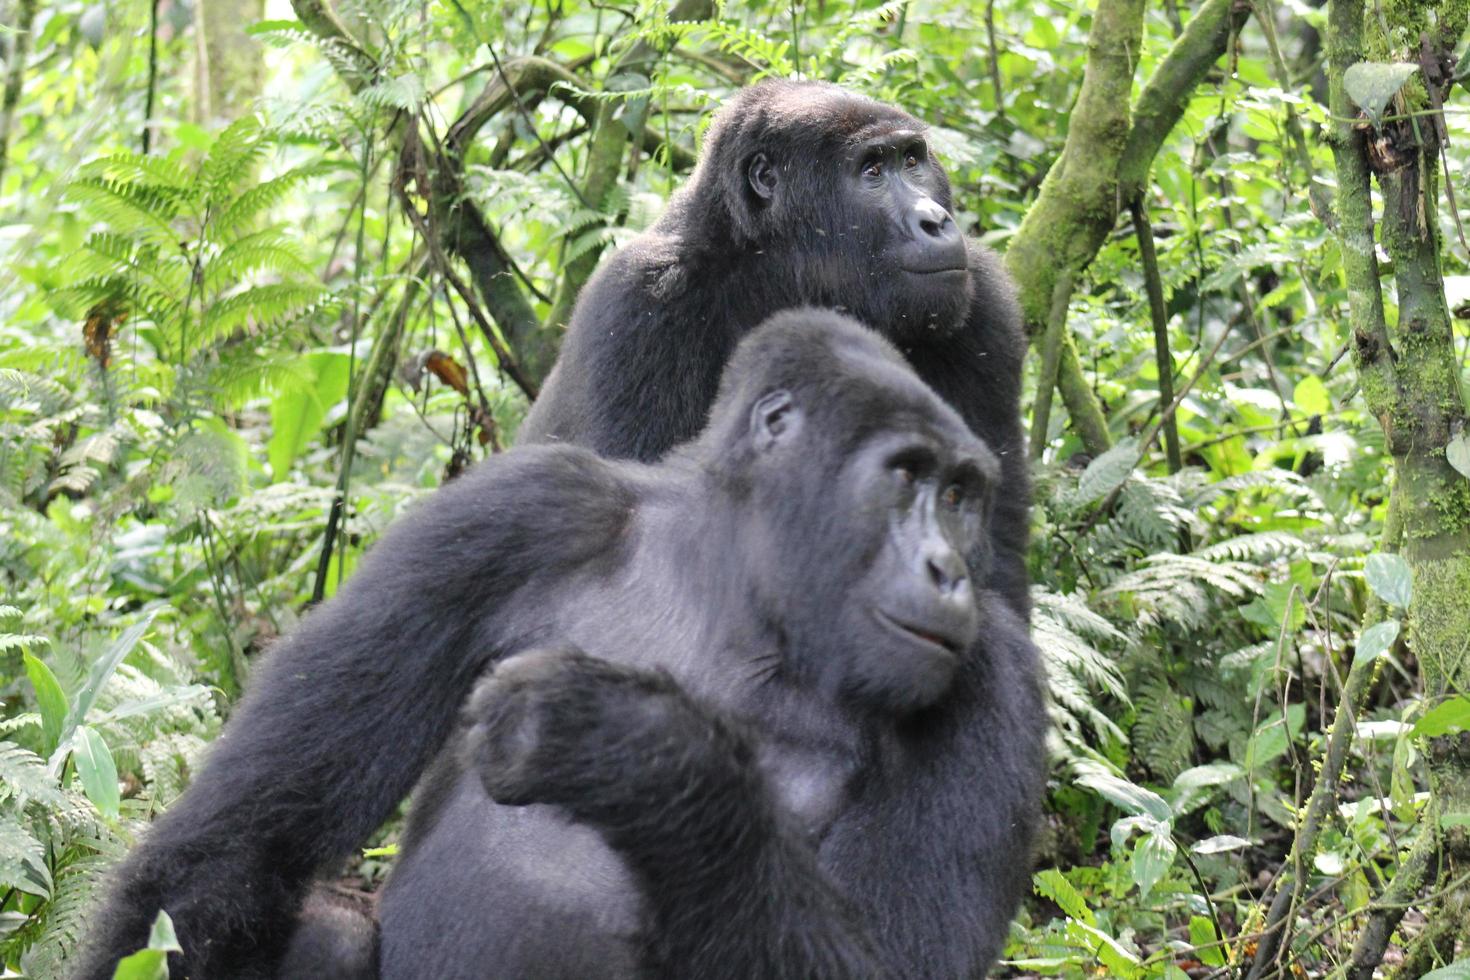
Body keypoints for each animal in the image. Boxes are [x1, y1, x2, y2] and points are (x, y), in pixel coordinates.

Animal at [74, 310, 1046, 975]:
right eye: (908, 477)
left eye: (962, 495)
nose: (950, 572)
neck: (739, 596)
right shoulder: (521, 511)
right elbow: (233, 849)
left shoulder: (997, 681)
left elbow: (894, 962)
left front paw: (643, 750)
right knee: (328, 930)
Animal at [523, 76, 1029, 617]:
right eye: (872, 169)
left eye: (913, 160)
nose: (934, 221)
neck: (774, 269)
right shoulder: (638, 302)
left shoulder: (983, 302)